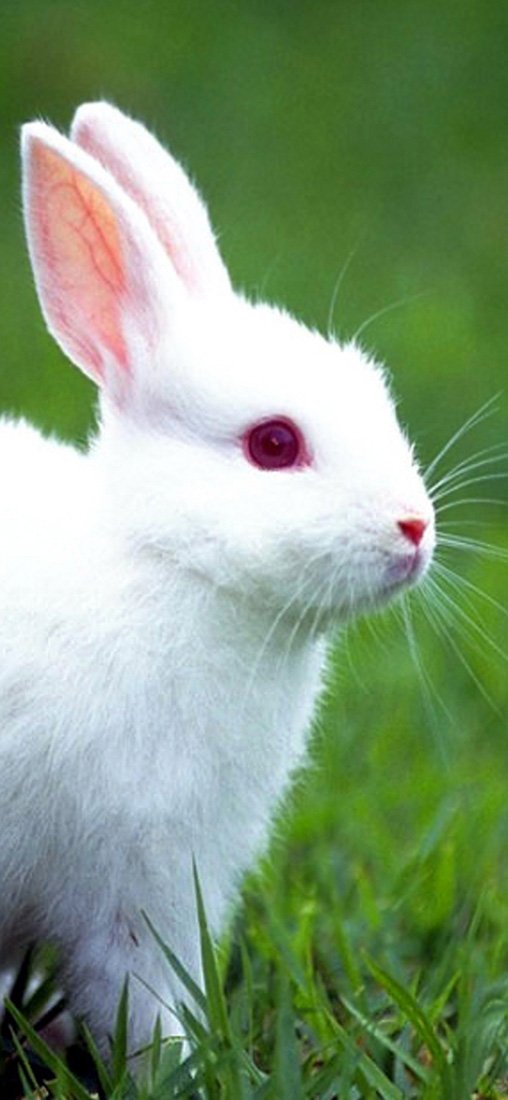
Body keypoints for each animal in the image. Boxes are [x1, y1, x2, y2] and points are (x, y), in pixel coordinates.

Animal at [0, 101, 435, 1057]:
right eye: (274, 443)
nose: (415, 528)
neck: (169, 566)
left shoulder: (163, 885)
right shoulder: (134, 879)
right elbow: (140, 1007)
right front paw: (182, 1065)